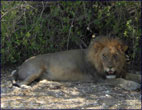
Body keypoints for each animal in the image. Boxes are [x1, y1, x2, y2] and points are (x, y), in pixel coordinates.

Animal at [11, 36, 140, 90]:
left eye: (115, 55)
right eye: (104, 55)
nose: (110, 67)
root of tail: (19, 67)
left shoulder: (121, 72)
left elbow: (135, 75)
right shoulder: (101, 79)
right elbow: (119, 80)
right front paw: (133, 85)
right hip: (36, 69)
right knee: (19, 83)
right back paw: (26, 87)